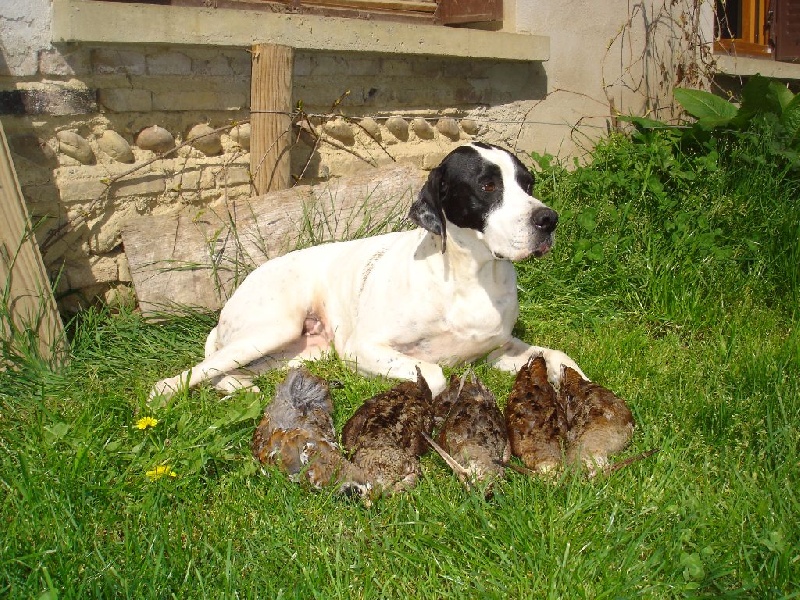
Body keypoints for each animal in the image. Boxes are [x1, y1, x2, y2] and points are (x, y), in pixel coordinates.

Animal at [150, 143, 584, 400]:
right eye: (488, 186)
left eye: (528, 183)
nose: (549, 219)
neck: (472, 277)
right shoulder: (364, 348)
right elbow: (435, 373)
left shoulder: (498, 349)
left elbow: (558, 355)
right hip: (273, 328)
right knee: (185, 375)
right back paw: (165, 393)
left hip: (295, 352)